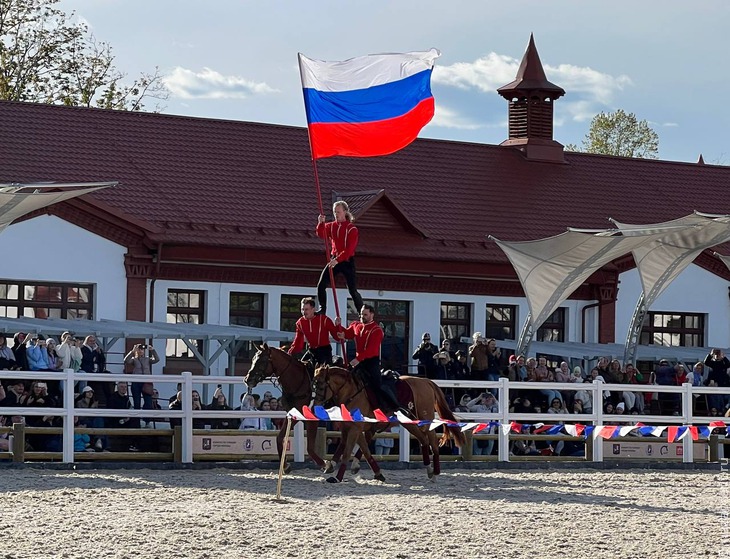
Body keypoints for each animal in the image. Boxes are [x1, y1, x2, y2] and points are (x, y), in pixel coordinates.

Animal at [245, 344, 382, 480]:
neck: (297, 382)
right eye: (253, 359)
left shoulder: (312, 419)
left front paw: (324, 464)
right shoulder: (294, 416)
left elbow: (310, 447)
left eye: (262, 361)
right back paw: (353, 465)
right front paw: (285, 466)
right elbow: (279, 438)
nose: (247, 379)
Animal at [310, 366, 464, 484]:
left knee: (432, 441)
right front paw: (376, 472)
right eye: (314, 385)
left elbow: (348, 452)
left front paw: (337, 477)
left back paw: (435, 472)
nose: (314, 407)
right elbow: (361, 449)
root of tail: (426, 381)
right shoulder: (351, 428)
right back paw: (429, 470)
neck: (353, 394)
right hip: (409, 423)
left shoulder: (355, 429)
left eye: (321, 386)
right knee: (423, 440)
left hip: (424, 420)